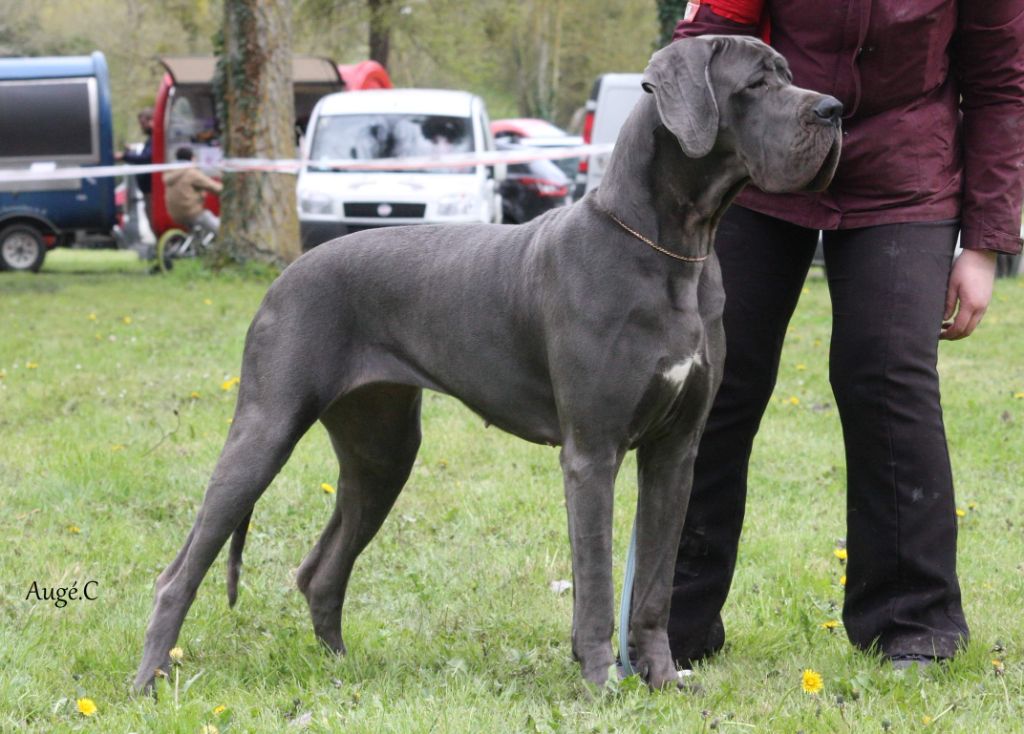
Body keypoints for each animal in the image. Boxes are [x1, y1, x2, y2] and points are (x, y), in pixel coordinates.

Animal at [136, 33, 839, 687]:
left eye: (789, 75)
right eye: (756, 83)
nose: (833, 109)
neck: (673, 249)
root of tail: (286, 273)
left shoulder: (675, 450)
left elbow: (654, 586)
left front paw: (662, 680)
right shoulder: (593, 451)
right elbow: (596, 579)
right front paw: (601, 681)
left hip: (382, 449)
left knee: (320, 569)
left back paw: (338, 669)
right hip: (267, 427)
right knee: (180, 570)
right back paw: (151, 679)